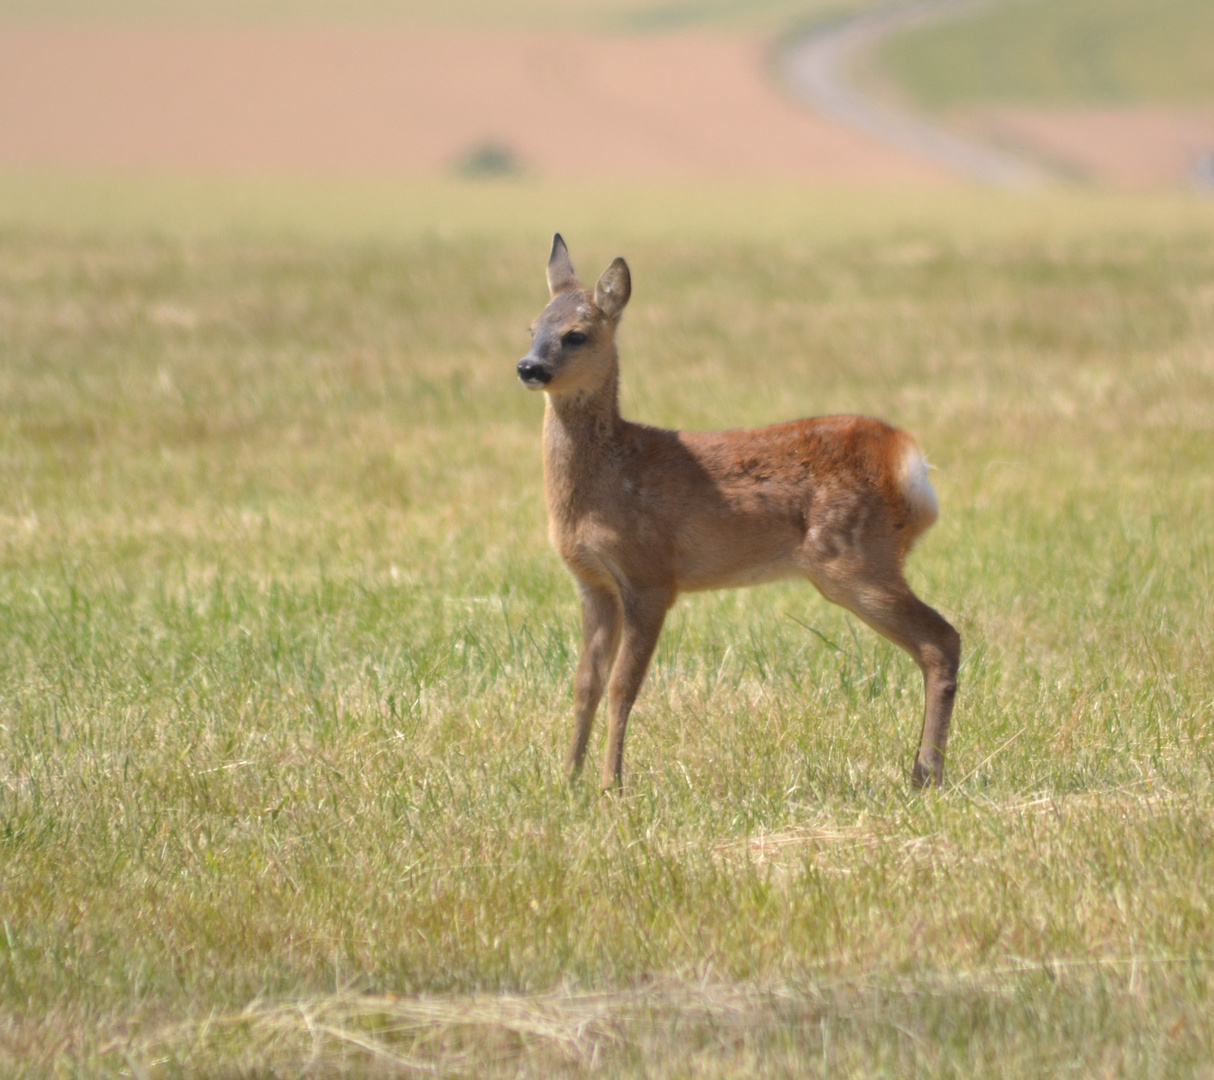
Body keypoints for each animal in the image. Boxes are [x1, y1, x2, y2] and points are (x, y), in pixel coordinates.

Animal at [517, 235, 961, 786]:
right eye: (532, 328)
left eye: (575, 335)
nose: (528, 367)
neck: (610, 474)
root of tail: (911, 464)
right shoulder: (593, 582)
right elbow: (585, 685)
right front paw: (568, 780)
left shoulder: (651, 575)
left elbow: (623, 686)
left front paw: (611, 785)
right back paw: (923, 770)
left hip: (856, 559)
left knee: (943, 639)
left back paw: (926, 773)